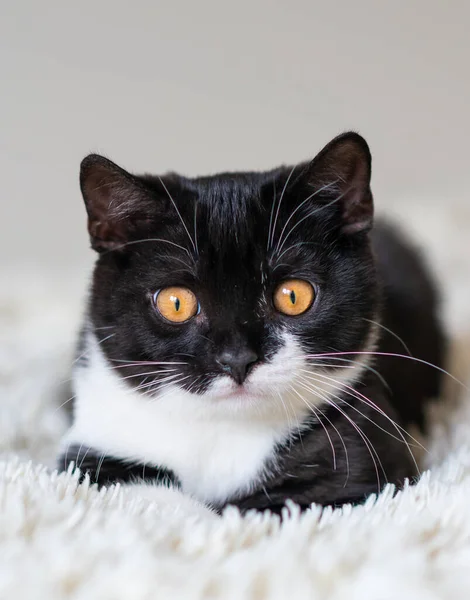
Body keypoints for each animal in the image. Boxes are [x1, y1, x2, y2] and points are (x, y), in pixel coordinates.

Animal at [57, 134, 444, 516]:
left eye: (293, 296)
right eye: (176, 303)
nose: (237, 359)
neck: (222, 433)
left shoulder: (365, 456)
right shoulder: (94, 444)